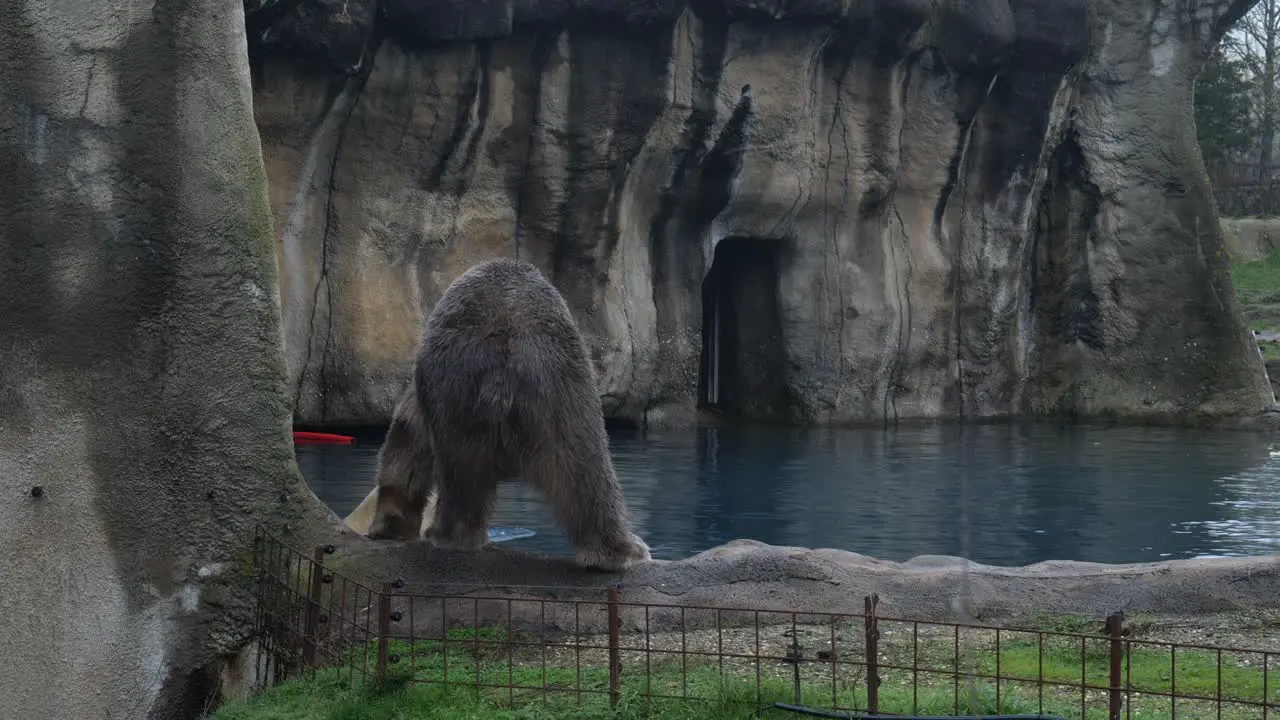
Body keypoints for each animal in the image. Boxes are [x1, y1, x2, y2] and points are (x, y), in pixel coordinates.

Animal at [366, 254, 655, 568]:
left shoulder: (423, 389)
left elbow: (406, 443)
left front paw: (388, 527)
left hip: (459, 387)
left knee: (460, 471)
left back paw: (445, 535)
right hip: (562, 387)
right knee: (585, 466)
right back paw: (622, 550)